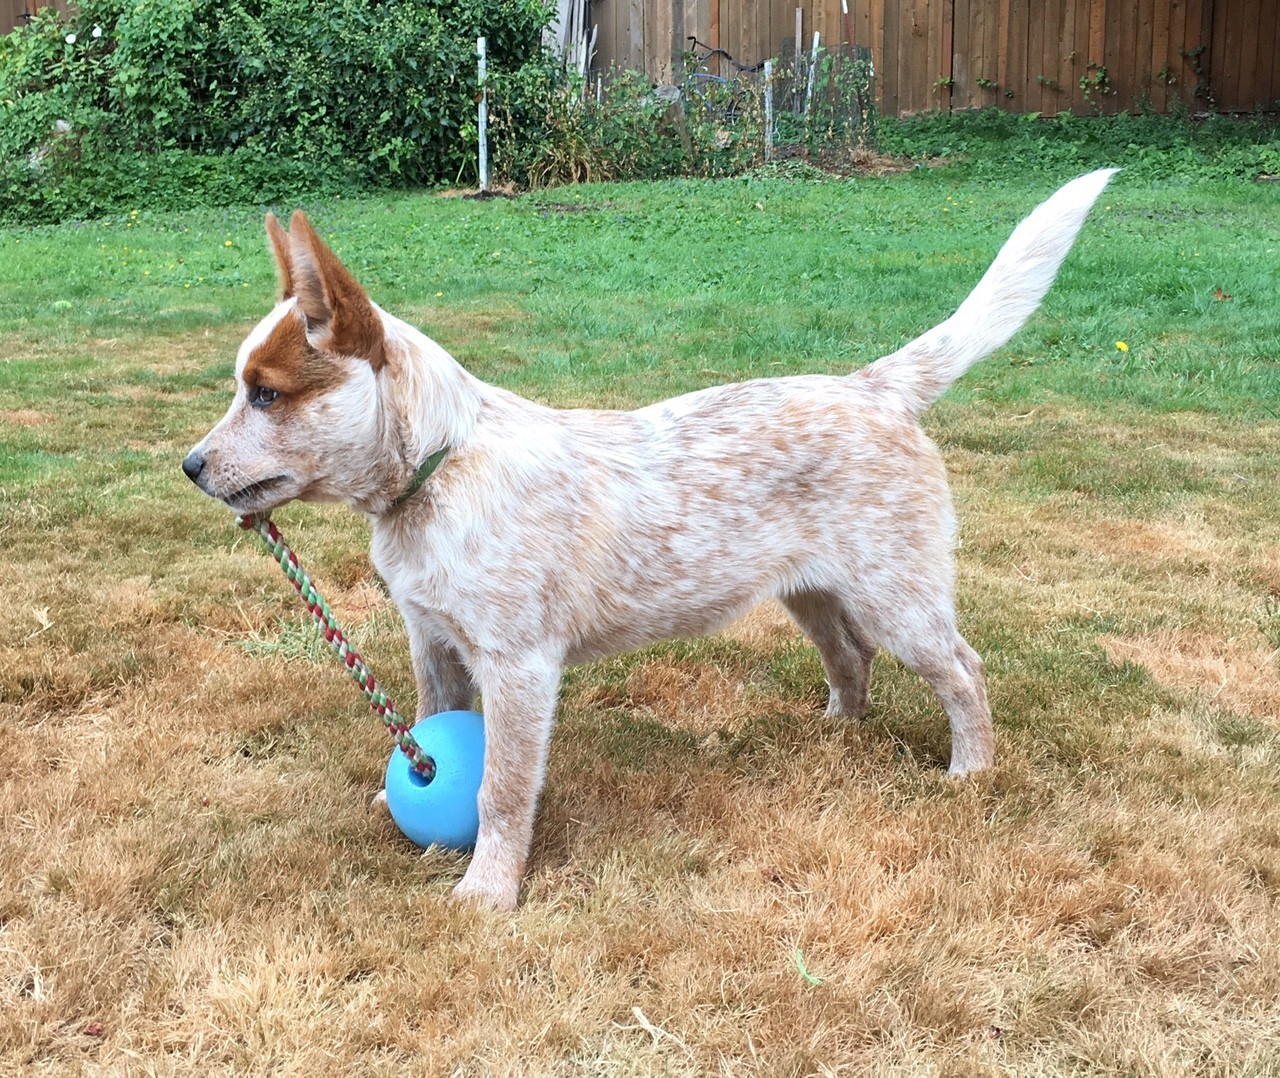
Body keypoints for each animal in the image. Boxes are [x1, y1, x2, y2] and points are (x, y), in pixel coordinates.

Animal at [185, 167, 1116, 906]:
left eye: (265, 393)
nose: (190, 466)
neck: (439, 470)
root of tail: (874, 387)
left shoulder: (519, 667)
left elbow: (500, 789)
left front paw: (488, 893)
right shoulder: (434, 643)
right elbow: (425, 728)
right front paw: (397, 801)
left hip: (898, 597)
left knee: (961, 668)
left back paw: (972, 774)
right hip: (811, 593)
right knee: (850, 657)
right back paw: (835, 732)